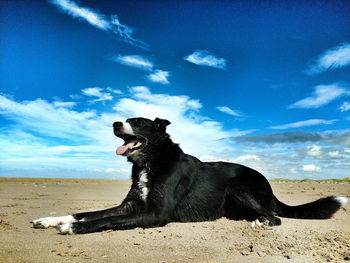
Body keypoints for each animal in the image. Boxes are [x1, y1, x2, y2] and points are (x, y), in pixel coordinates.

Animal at [32, 117, 348, 235]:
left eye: (139, 123)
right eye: (125, 119)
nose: (115, 123)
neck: (152, 161)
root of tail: (269, 185)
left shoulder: (155, 214)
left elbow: (104, 220)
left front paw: (73, 228)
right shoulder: (131, 205)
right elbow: (86, 212)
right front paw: (51, 219)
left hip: (239, 186)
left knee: (276, 217)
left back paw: (260, 221)